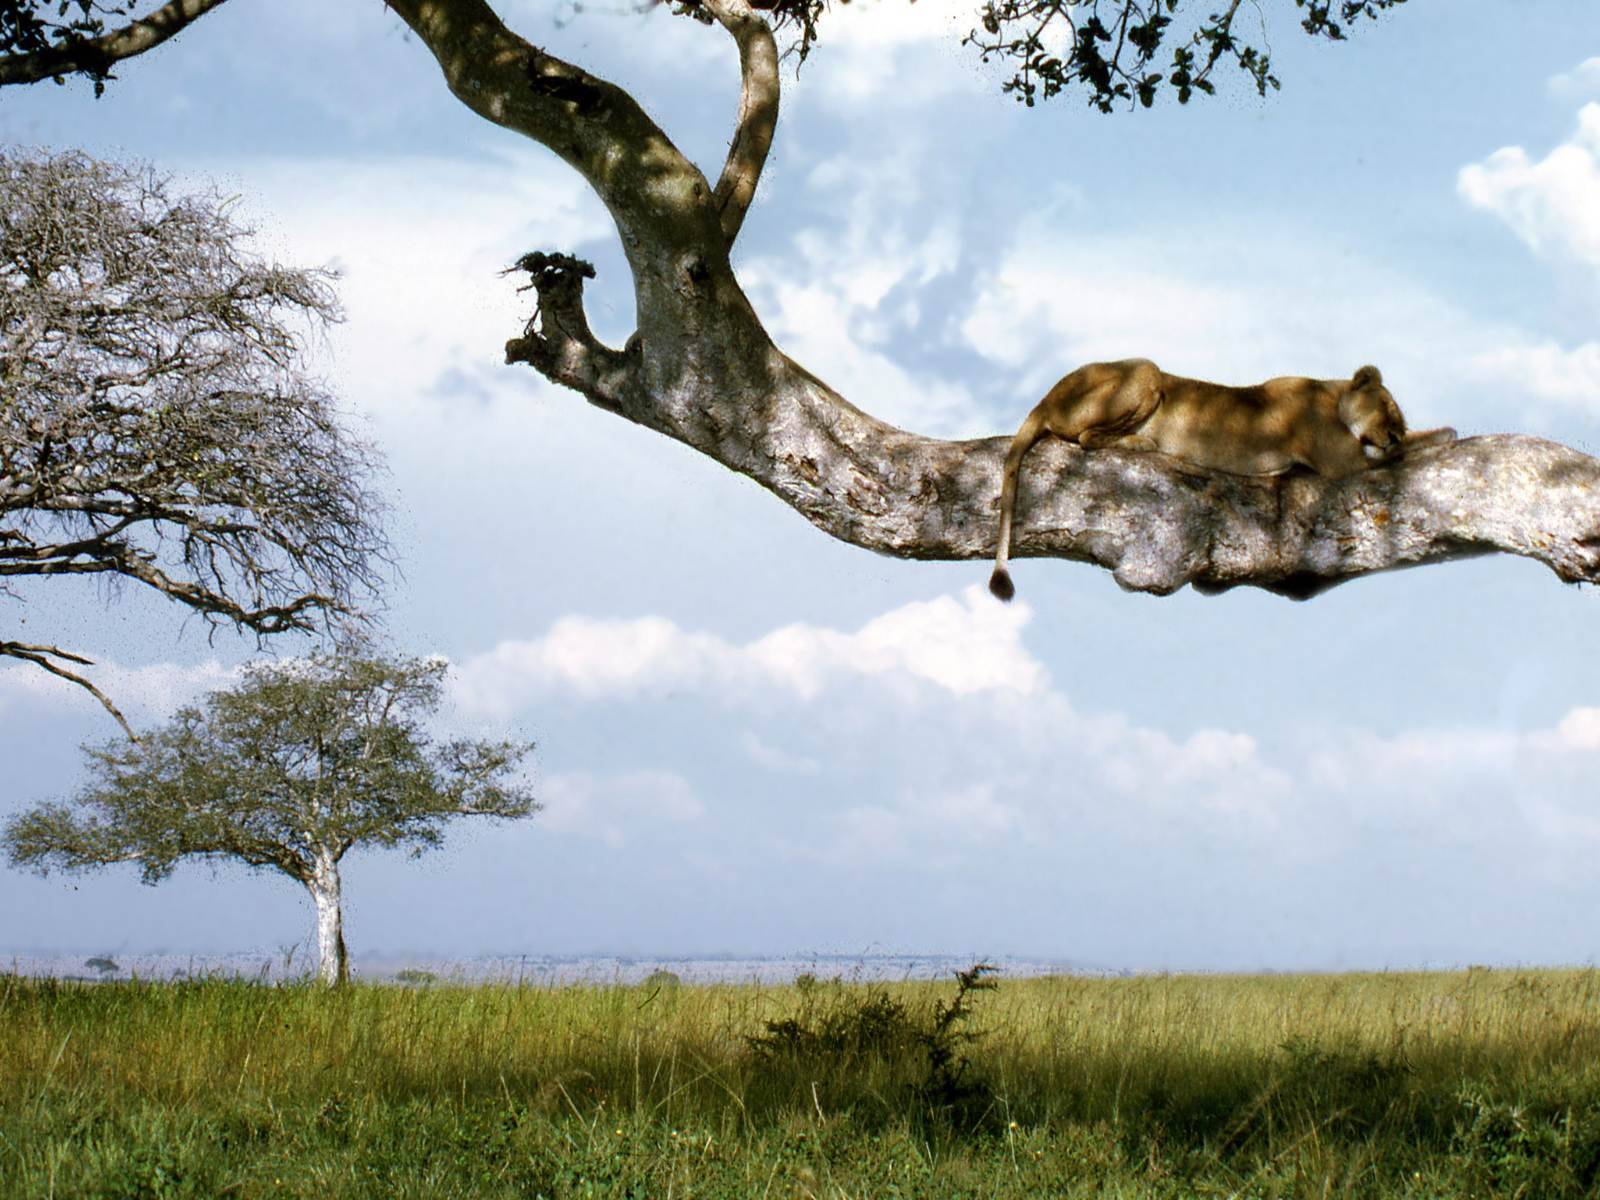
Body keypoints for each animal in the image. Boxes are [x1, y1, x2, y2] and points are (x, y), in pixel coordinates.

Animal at [989, 359, 1456, 601]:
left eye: (1396, 417)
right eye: (1387, 408)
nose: (1393, 432)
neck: (1330, 394)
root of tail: (1044, 398)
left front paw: (1430, 434)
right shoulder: (1341, 461)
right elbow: (1409, 450)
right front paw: (1444, 434)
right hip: (1145, 372)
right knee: (1084, 437)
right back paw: (1144, 443)